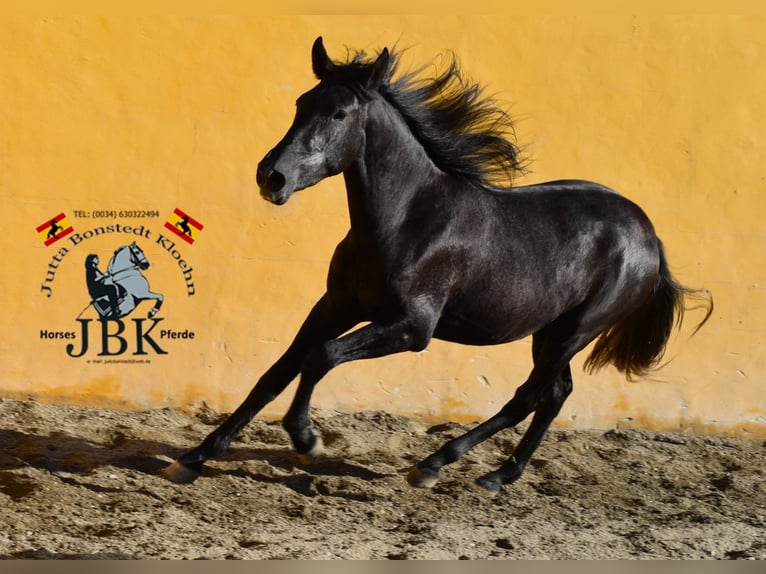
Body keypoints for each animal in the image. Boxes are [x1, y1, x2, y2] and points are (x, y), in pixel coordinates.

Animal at [164, 38, 712, 492]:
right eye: (301, 103)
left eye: (340, 113)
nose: (271, 177)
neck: (406, 220)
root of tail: (649, 235)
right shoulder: (336, 306)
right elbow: (277, 371)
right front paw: (194, 457)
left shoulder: (413, 327)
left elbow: (321, 357)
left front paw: (306, 440)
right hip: (550, 332)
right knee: (556, 392)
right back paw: (500, 475)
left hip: (573, 331)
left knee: (531, 395)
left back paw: (437, 466)